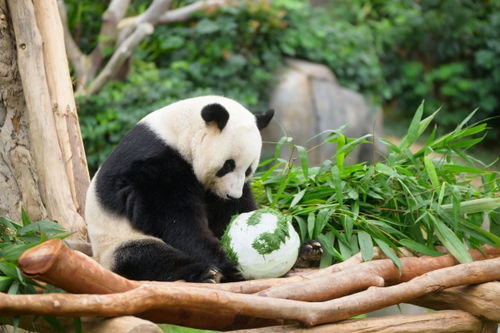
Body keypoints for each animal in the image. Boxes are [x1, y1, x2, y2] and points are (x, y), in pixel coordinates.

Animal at [85, 94, 274, 282]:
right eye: (228, 165)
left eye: (248, 169)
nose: (232, 195)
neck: (179, 133)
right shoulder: (154, 162)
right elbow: (172, 216)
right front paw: (226, 262)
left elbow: (228, 210)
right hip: (116, 241)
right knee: (148, 257)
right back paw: (205, 272)